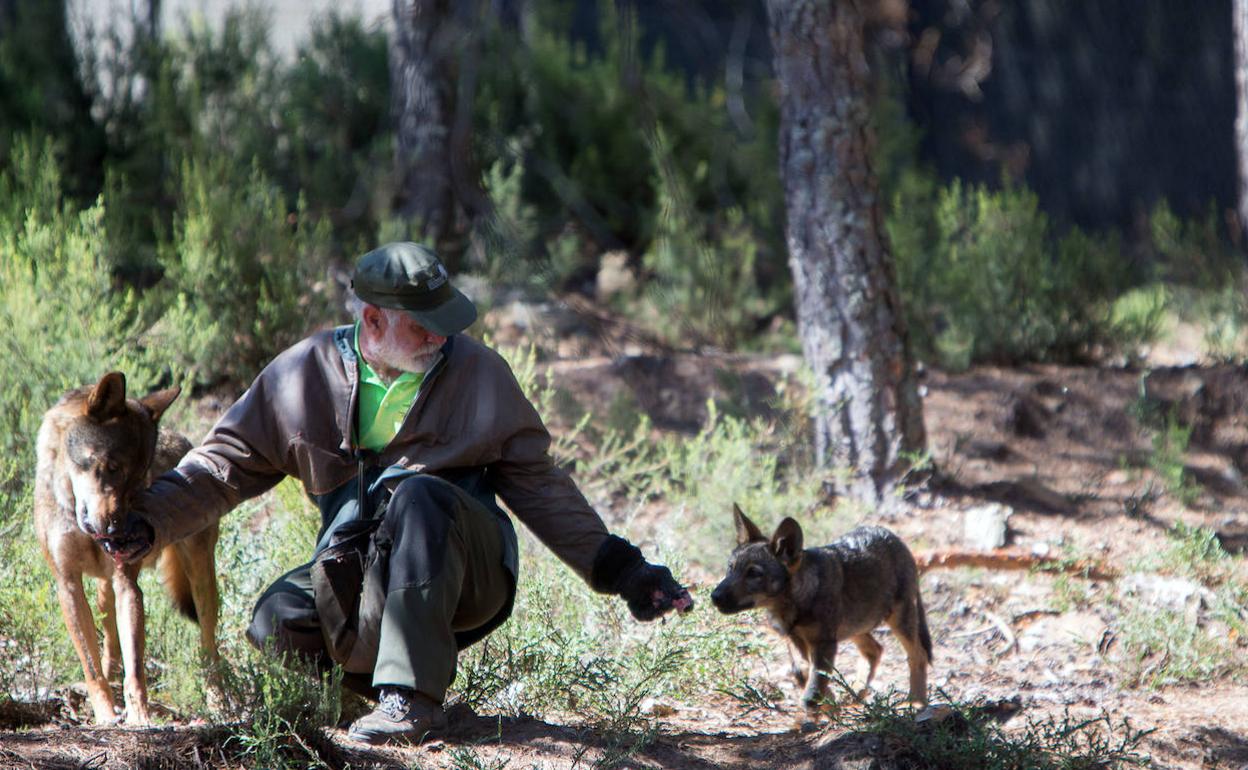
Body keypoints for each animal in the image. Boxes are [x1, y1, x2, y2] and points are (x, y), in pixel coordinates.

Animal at [35, 371, 220, 718]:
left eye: (137, 482)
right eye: (111, 467)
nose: (117, 532)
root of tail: (184, 440)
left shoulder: (127, 584)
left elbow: (136, 669)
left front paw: (140, 718)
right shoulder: (68, 584)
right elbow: (92, 667)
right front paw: (106, 716)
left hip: (201, 581)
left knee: (209, 646)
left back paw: (218, 699)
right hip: (102, 592)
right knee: (109, 644)